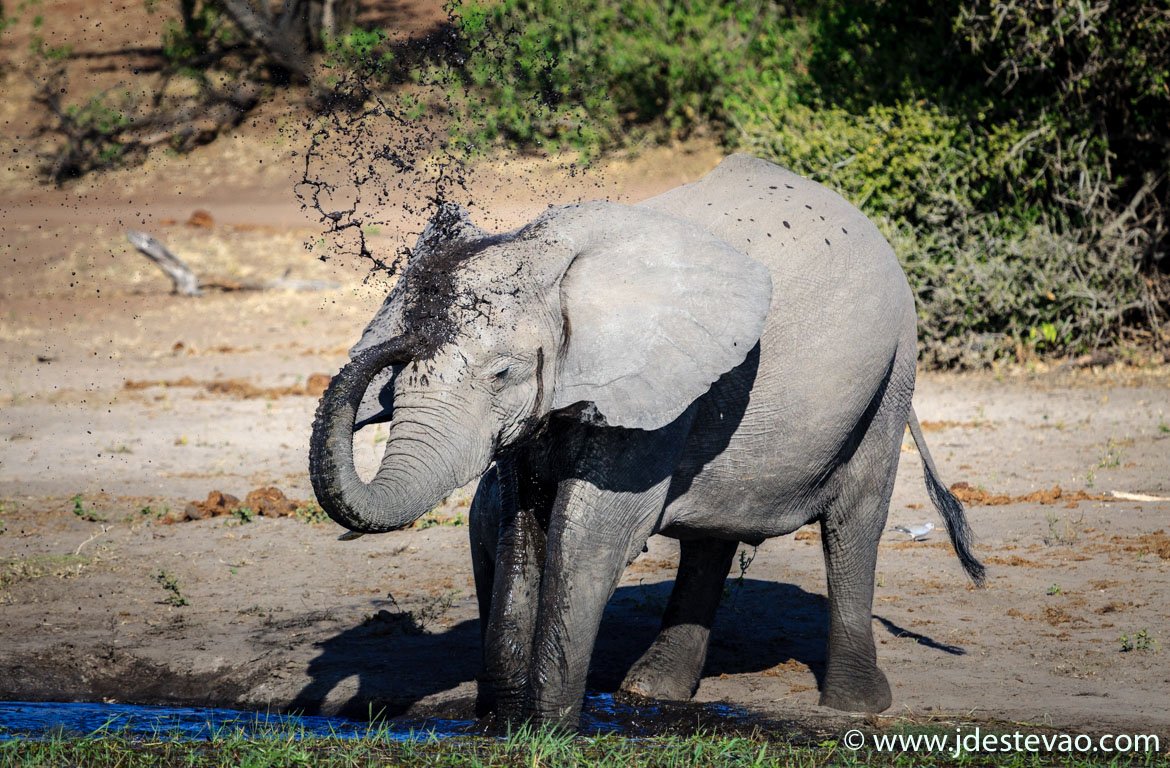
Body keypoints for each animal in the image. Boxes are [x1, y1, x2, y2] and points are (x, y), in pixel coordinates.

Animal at [306, 153, 982, 730]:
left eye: (502, 373)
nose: (401, 339)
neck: (556, 260)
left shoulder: (653, 393)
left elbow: (589, 535)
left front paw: (546, 733)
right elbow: (521, 530)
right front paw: (499, 727)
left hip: (892, 369)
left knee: (854, 520)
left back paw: (854, 707)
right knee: (714, 535)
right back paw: (652, 691)